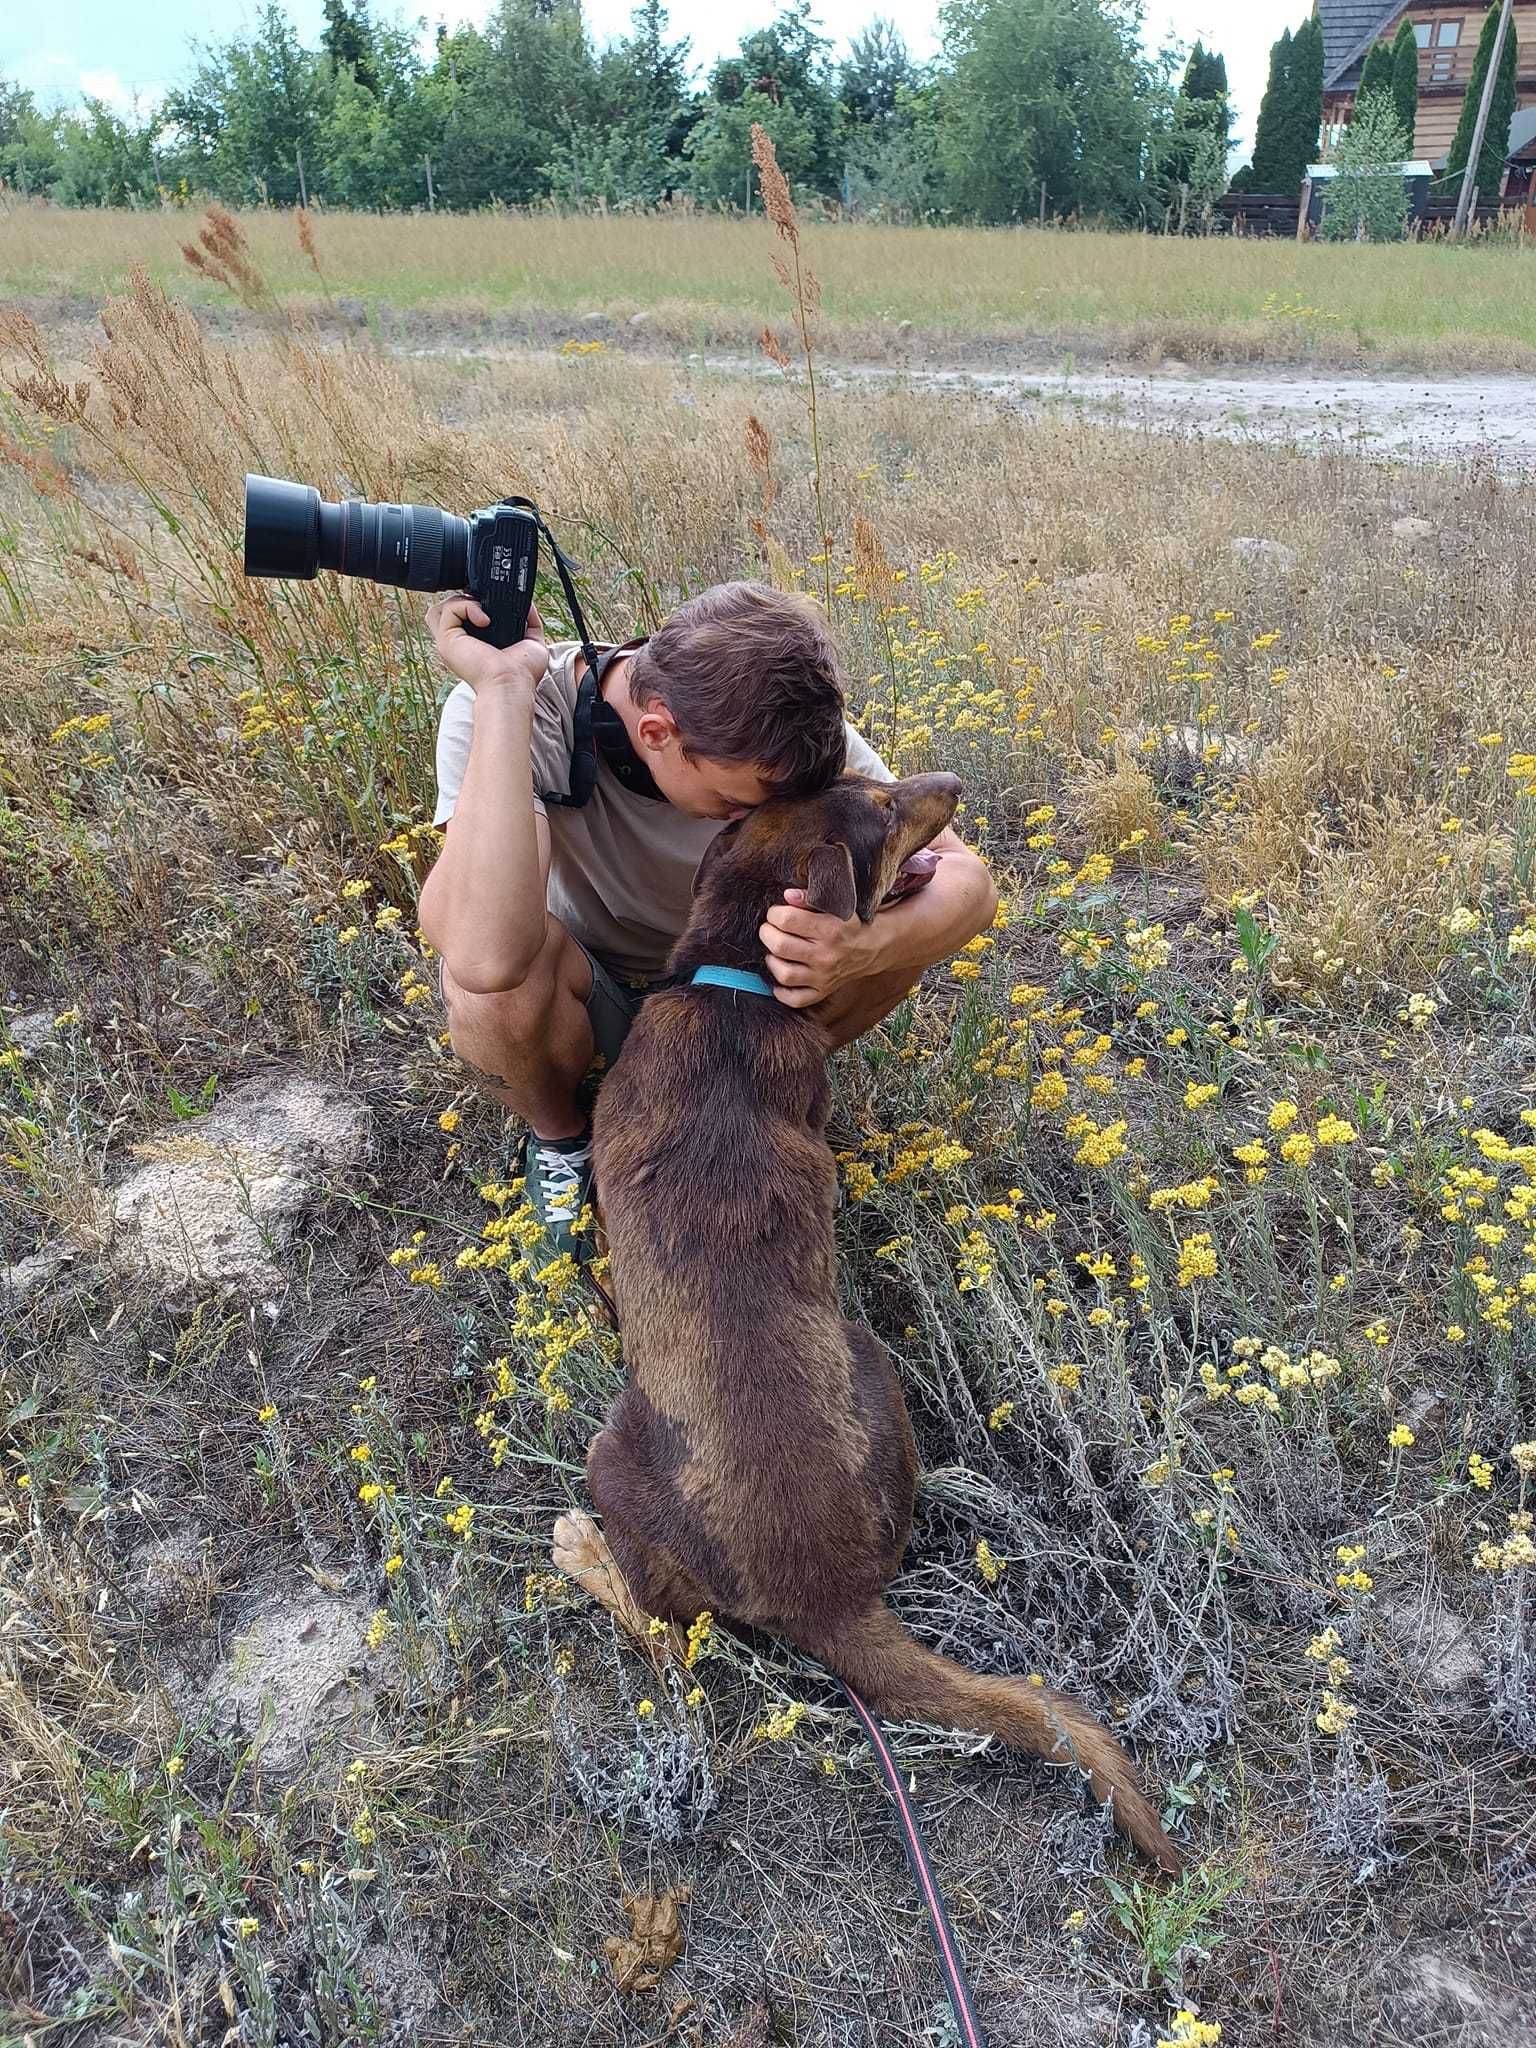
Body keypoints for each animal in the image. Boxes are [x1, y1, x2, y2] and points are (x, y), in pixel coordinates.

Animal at [561, 774, 1187, 1875]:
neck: (734, 984)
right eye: (880, 807)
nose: (952, 785)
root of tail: (826, 1597)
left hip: (643, 1442)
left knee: (662, 1630)